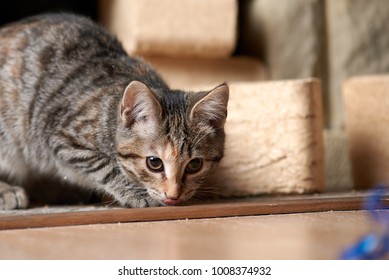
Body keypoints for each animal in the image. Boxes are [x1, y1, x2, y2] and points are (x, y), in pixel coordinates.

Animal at [0, 13, 227, 210]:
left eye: (195, 165)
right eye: (154, 163)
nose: (174, 195)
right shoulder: (62, 135)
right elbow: (106, 167)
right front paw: (136, 192)